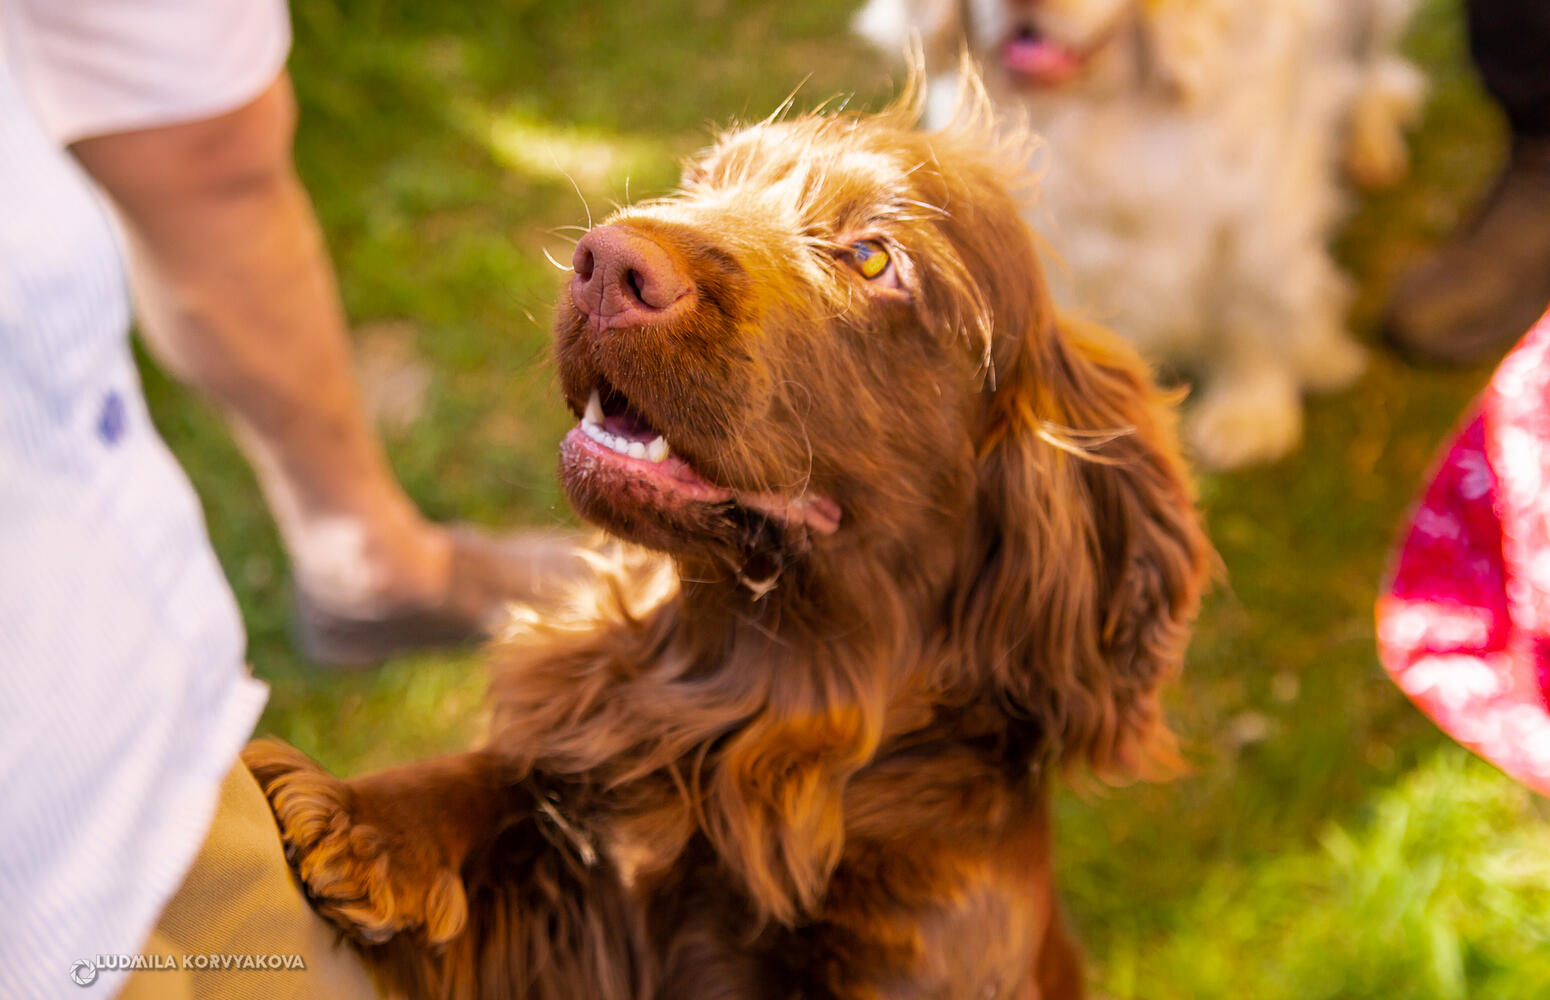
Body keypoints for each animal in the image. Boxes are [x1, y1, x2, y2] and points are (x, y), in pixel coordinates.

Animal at [244, 78, 1212, 999]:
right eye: (706, 181)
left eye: (873, 256)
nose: (607, 265)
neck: (754, 716)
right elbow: (515, 782)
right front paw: (366, 817)